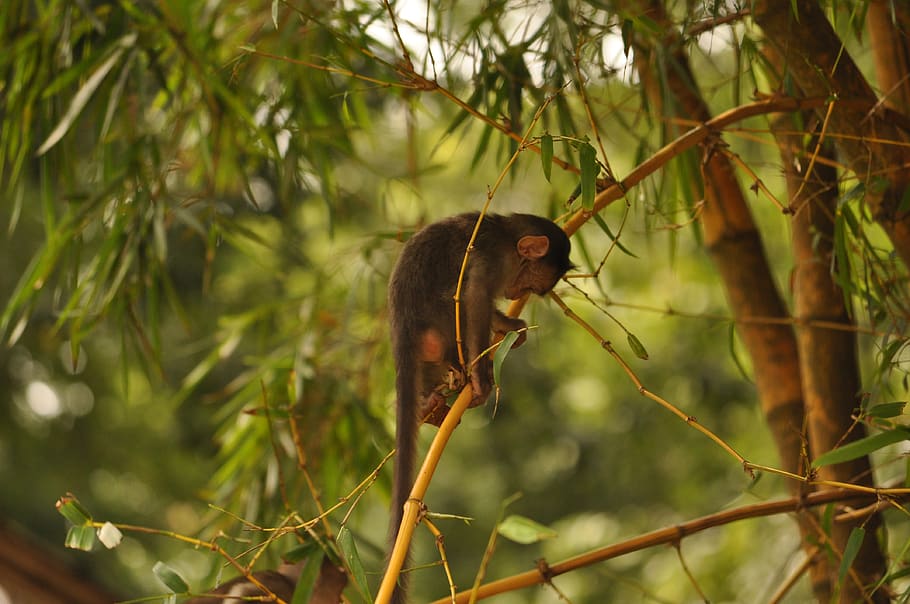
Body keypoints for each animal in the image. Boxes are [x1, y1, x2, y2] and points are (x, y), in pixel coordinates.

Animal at [386, 212, 572, 603]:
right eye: (531, 281)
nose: (518, 294)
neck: (506, 236)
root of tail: (401, 329)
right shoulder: (490, 261)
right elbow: (473, 297)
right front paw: (482, 377)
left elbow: (484, 306)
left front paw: (510, 326)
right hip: (436, 320)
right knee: (454, 303)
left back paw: (429, 403)